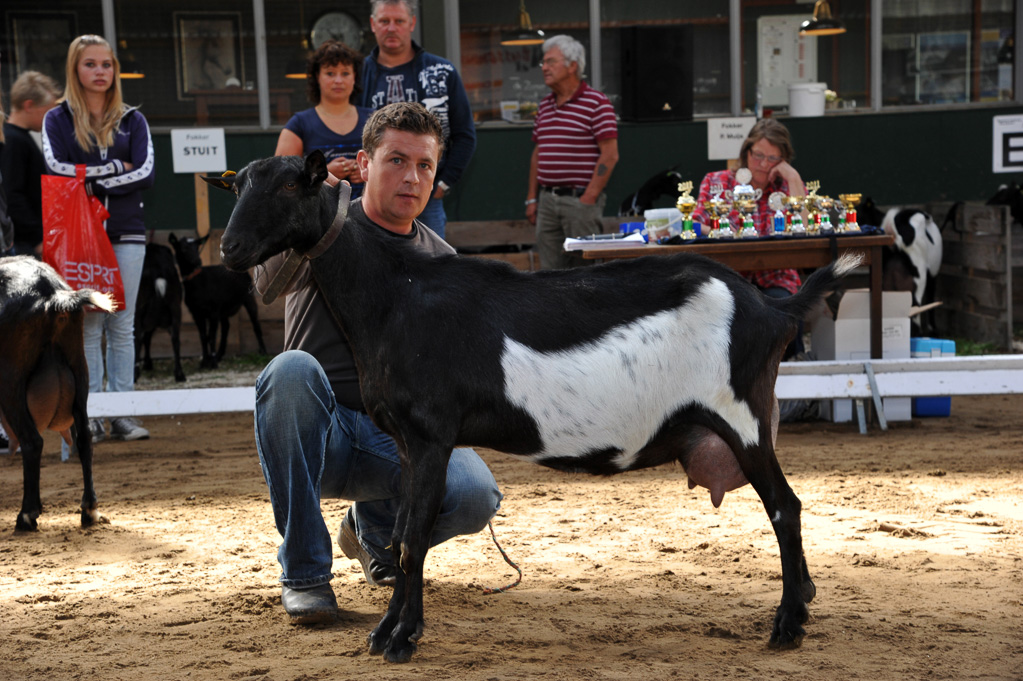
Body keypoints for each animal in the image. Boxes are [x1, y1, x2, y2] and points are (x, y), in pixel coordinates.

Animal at [0, 254, 114, 531]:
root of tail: (52, 293)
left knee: (32, 441)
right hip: (79, 368)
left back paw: (26, 515)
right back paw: (89, 509)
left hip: (10, 379)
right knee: (84, 437)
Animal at [135, 242, 187, 382]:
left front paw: (146, 364)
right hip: (175, 307)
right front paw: (148, 363)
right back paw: (179, 375)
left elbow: (144, 338)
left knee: (137, 339)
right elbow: (148, 338)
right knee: (175, 339)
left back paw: (134, 374)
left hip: (138, 310)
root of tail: (157, 269)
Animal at [203, 152, 859, 662]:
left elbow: (413, 539)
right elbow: (405, 538)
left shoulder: (432, 434)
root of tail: (772, 309)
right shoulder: (408, 443)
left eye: (292, 184)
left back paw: (788, 625)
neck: (396, 294)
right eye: (237, 187)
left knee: (786, 508)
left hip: (743, 415)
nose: (231, 248)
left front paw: (402, 639)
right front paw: (388, 629)